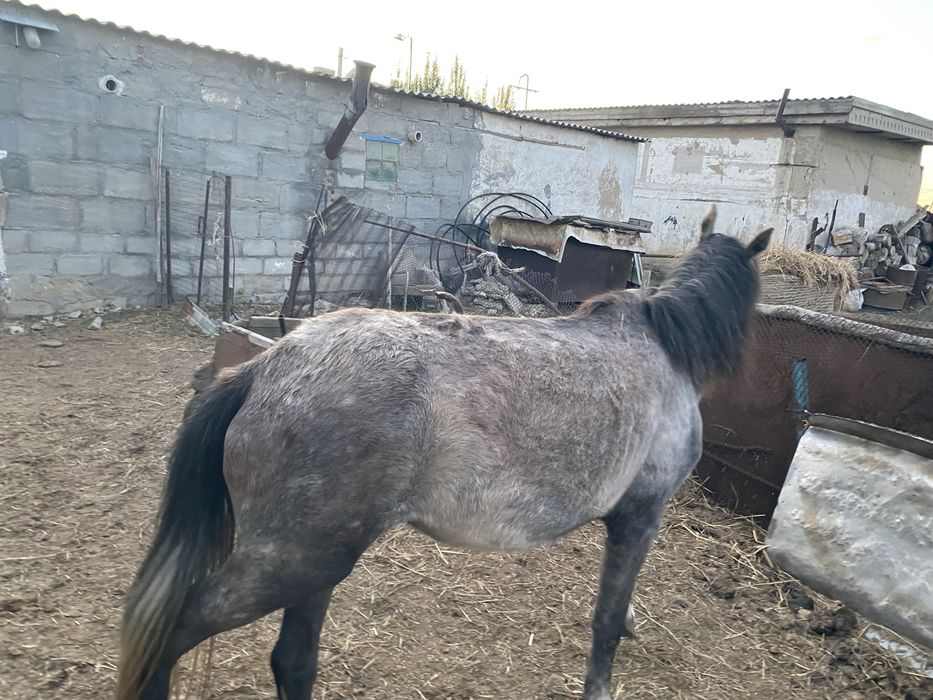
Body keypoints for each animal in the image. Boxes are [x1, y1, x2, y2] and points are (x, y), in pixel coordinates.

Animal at [116, 206, 771, 700]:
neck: (662, 345)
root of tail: (265, 368)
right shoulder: (640, 515)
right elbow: (606, 621)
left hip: (316, 563)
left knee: (292, 663)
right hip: (292, 563)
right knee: (171, 632)